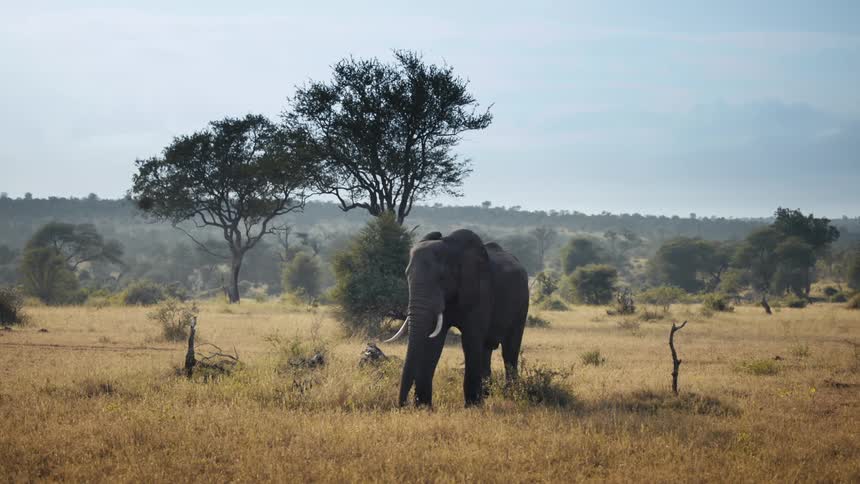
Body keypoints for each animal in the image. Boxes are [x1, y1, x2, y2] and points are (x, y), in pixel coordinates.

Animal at [384, 229, 529, 407]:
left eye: (441, 277)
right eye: (407, 276)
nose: (403, 405)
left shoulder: (480, 290)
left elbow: (471, 339)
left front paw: (472, 406)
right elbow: (434, 343)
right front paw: (424, 407)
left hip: (522, 303)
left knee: (510, 350)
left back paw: (511, 394)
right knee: (486, 348)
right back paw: (487, 394)